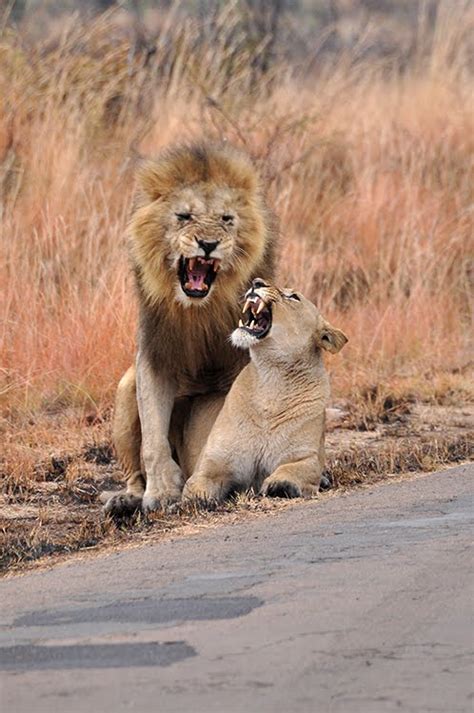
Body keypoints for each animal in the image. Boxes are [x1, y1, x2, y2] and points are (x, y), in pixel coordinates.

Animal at [102, 142, 276, 516]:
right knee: (133, 471)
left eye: (227, 219)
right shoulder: (154, 354)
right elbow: (153, 438)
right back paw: (125, 501)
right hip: (125, 390)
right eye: (184, 216)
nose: (208, 244)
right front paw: (162, 492)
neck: (200, 310)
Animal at [183, 278, 346, 500]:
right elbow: (199, 480)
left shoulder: (306, 456)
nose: (257, 282)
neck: (272, 377)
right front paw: (196, 498)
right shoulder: (214, 458)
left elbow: (294, 469)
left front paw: (281, 484)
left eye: (293, 296)